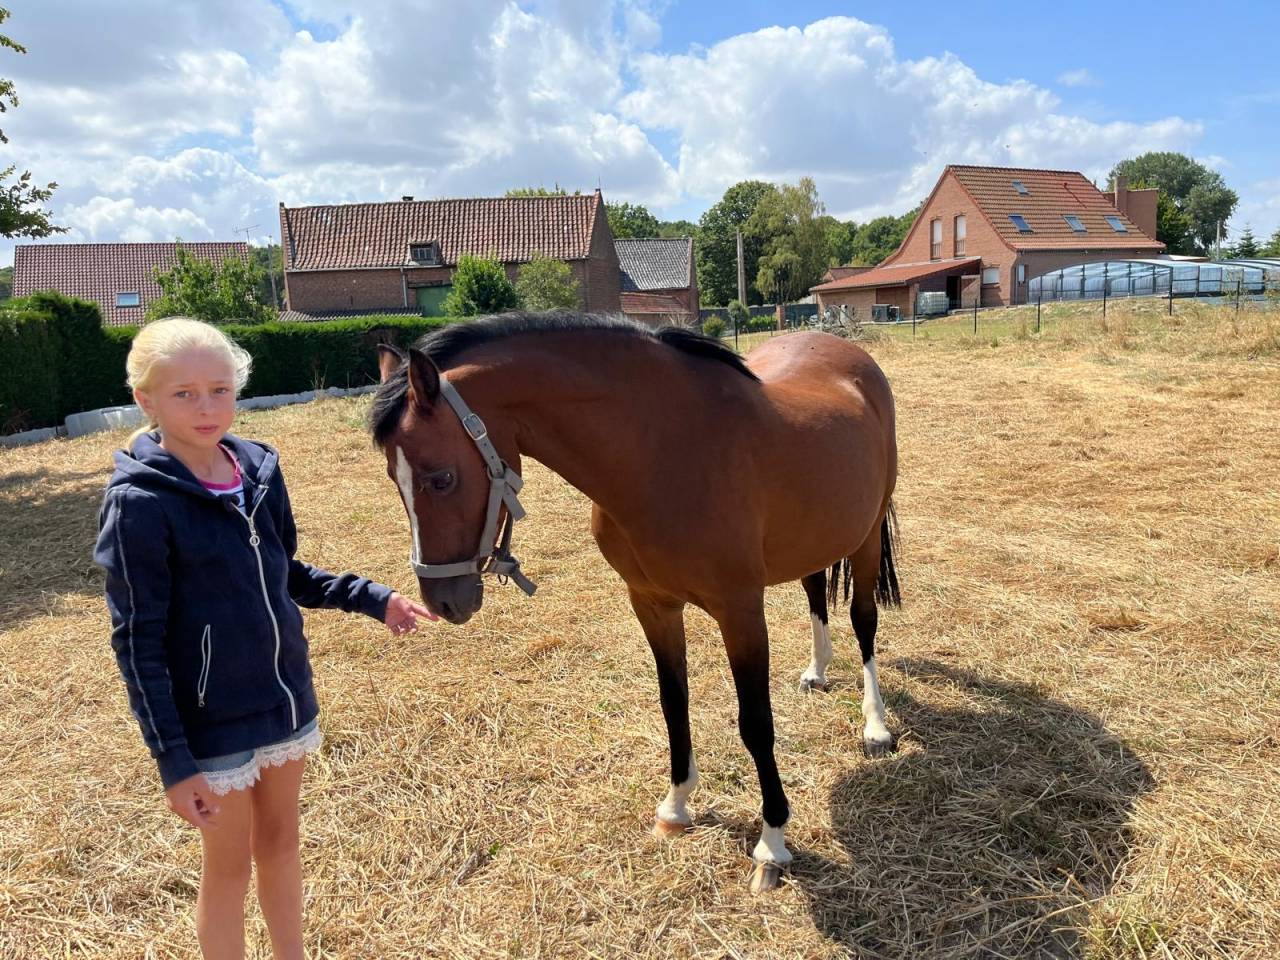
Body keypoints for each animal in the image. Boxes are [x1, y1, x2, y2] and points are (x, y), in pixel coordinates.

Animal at [369, 312, 900, 892]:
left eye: (441, 477)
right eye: (394, 480)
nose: (443, 600)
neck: (663, 454)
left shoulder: (740, 610)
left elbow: (756, 722)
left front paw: (772, 843)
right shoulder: (652, 604)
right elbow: (673, 703)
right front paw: (676, 806)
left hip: (867, 537)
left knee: (864, 622)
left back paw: (875, 726)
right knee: (814, 592)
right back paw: (817, 670)